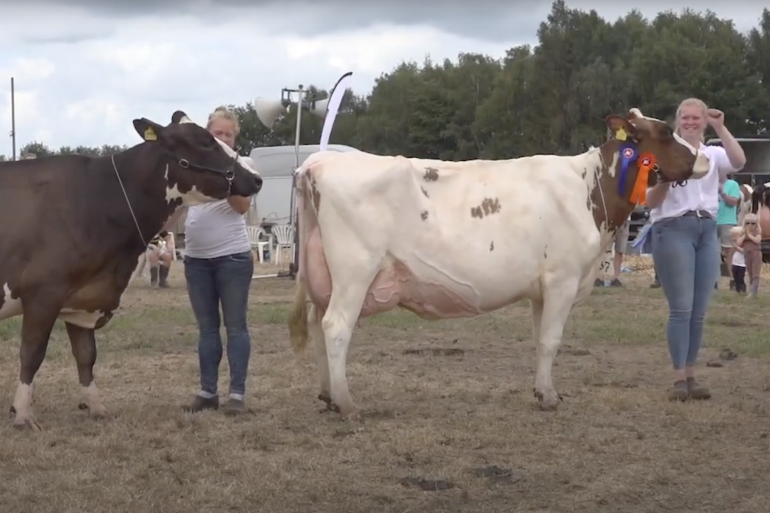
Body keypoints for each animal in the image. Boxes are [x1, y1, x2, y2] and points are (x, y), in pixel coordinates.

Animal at [0, 111, 260, 428]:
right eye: (205, 141)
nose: (256, 178)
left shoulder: (84, 296)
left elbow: (86, 355)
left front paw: (97, 408)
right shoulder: (43, 292)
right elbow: (32, 353)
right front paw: (23, 414)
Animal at [286, 106, 708, 418]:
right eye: (665, 133)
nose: (703, 159)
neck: (588, 190)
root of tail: (317, 163)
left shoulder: (541, 289)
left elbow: (540, 340)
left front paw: (541, 391)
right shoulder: (563, 278)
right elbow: (552, 341)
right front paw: (550, 398)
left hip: (325, 276)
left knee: (318, 325)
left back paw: (327, 396)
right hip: (355, 271)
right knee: (336, 327)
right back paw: (346, 403)